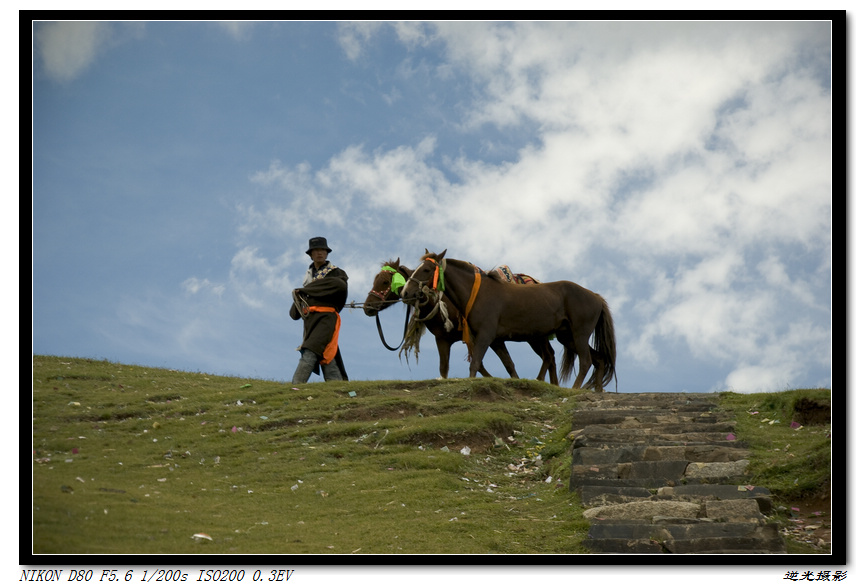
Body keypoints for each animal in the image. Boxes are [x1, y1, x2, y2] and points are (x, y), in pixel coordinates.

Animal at [362, 258, 556, 380]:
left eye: (385, 282)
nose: (367, 307)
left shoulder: (484, 337)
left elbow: (493, 364)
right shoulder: (443, 339)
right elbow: (447, 369)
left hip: (536, 336)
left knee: (549, 355)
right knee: (551, 356)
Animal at [404, 249, 616, 390]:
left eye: (426, 269)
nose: (406, 292)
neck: (478, 294)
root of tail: (595, 297)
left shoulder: (485, 337)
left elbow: (475, 363)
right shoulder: (496, 341)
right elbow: (509, 365)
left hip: (578, 335)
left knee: (585, 361)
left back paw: (576, 389)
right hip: (567, 337)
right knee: (598, 359)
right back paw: (597, 391)